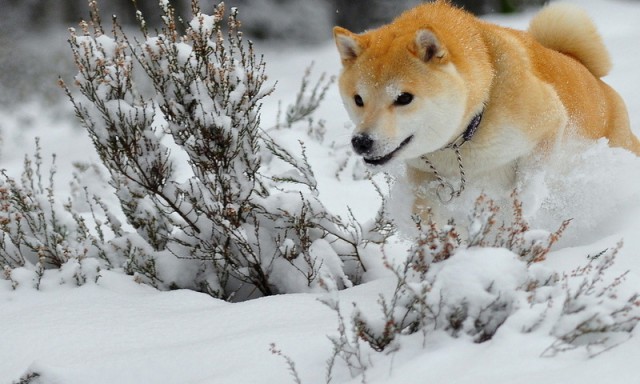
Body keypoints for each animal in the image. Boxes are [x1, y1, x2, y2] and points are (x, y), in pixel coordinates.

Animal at [332, 0, 636, 222]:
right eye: (358, 99)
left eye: (404, 98)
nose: (361, 142)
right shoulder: (425, 175)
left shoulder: (550, 120)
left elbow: (530, 178)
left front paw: (523, 208)